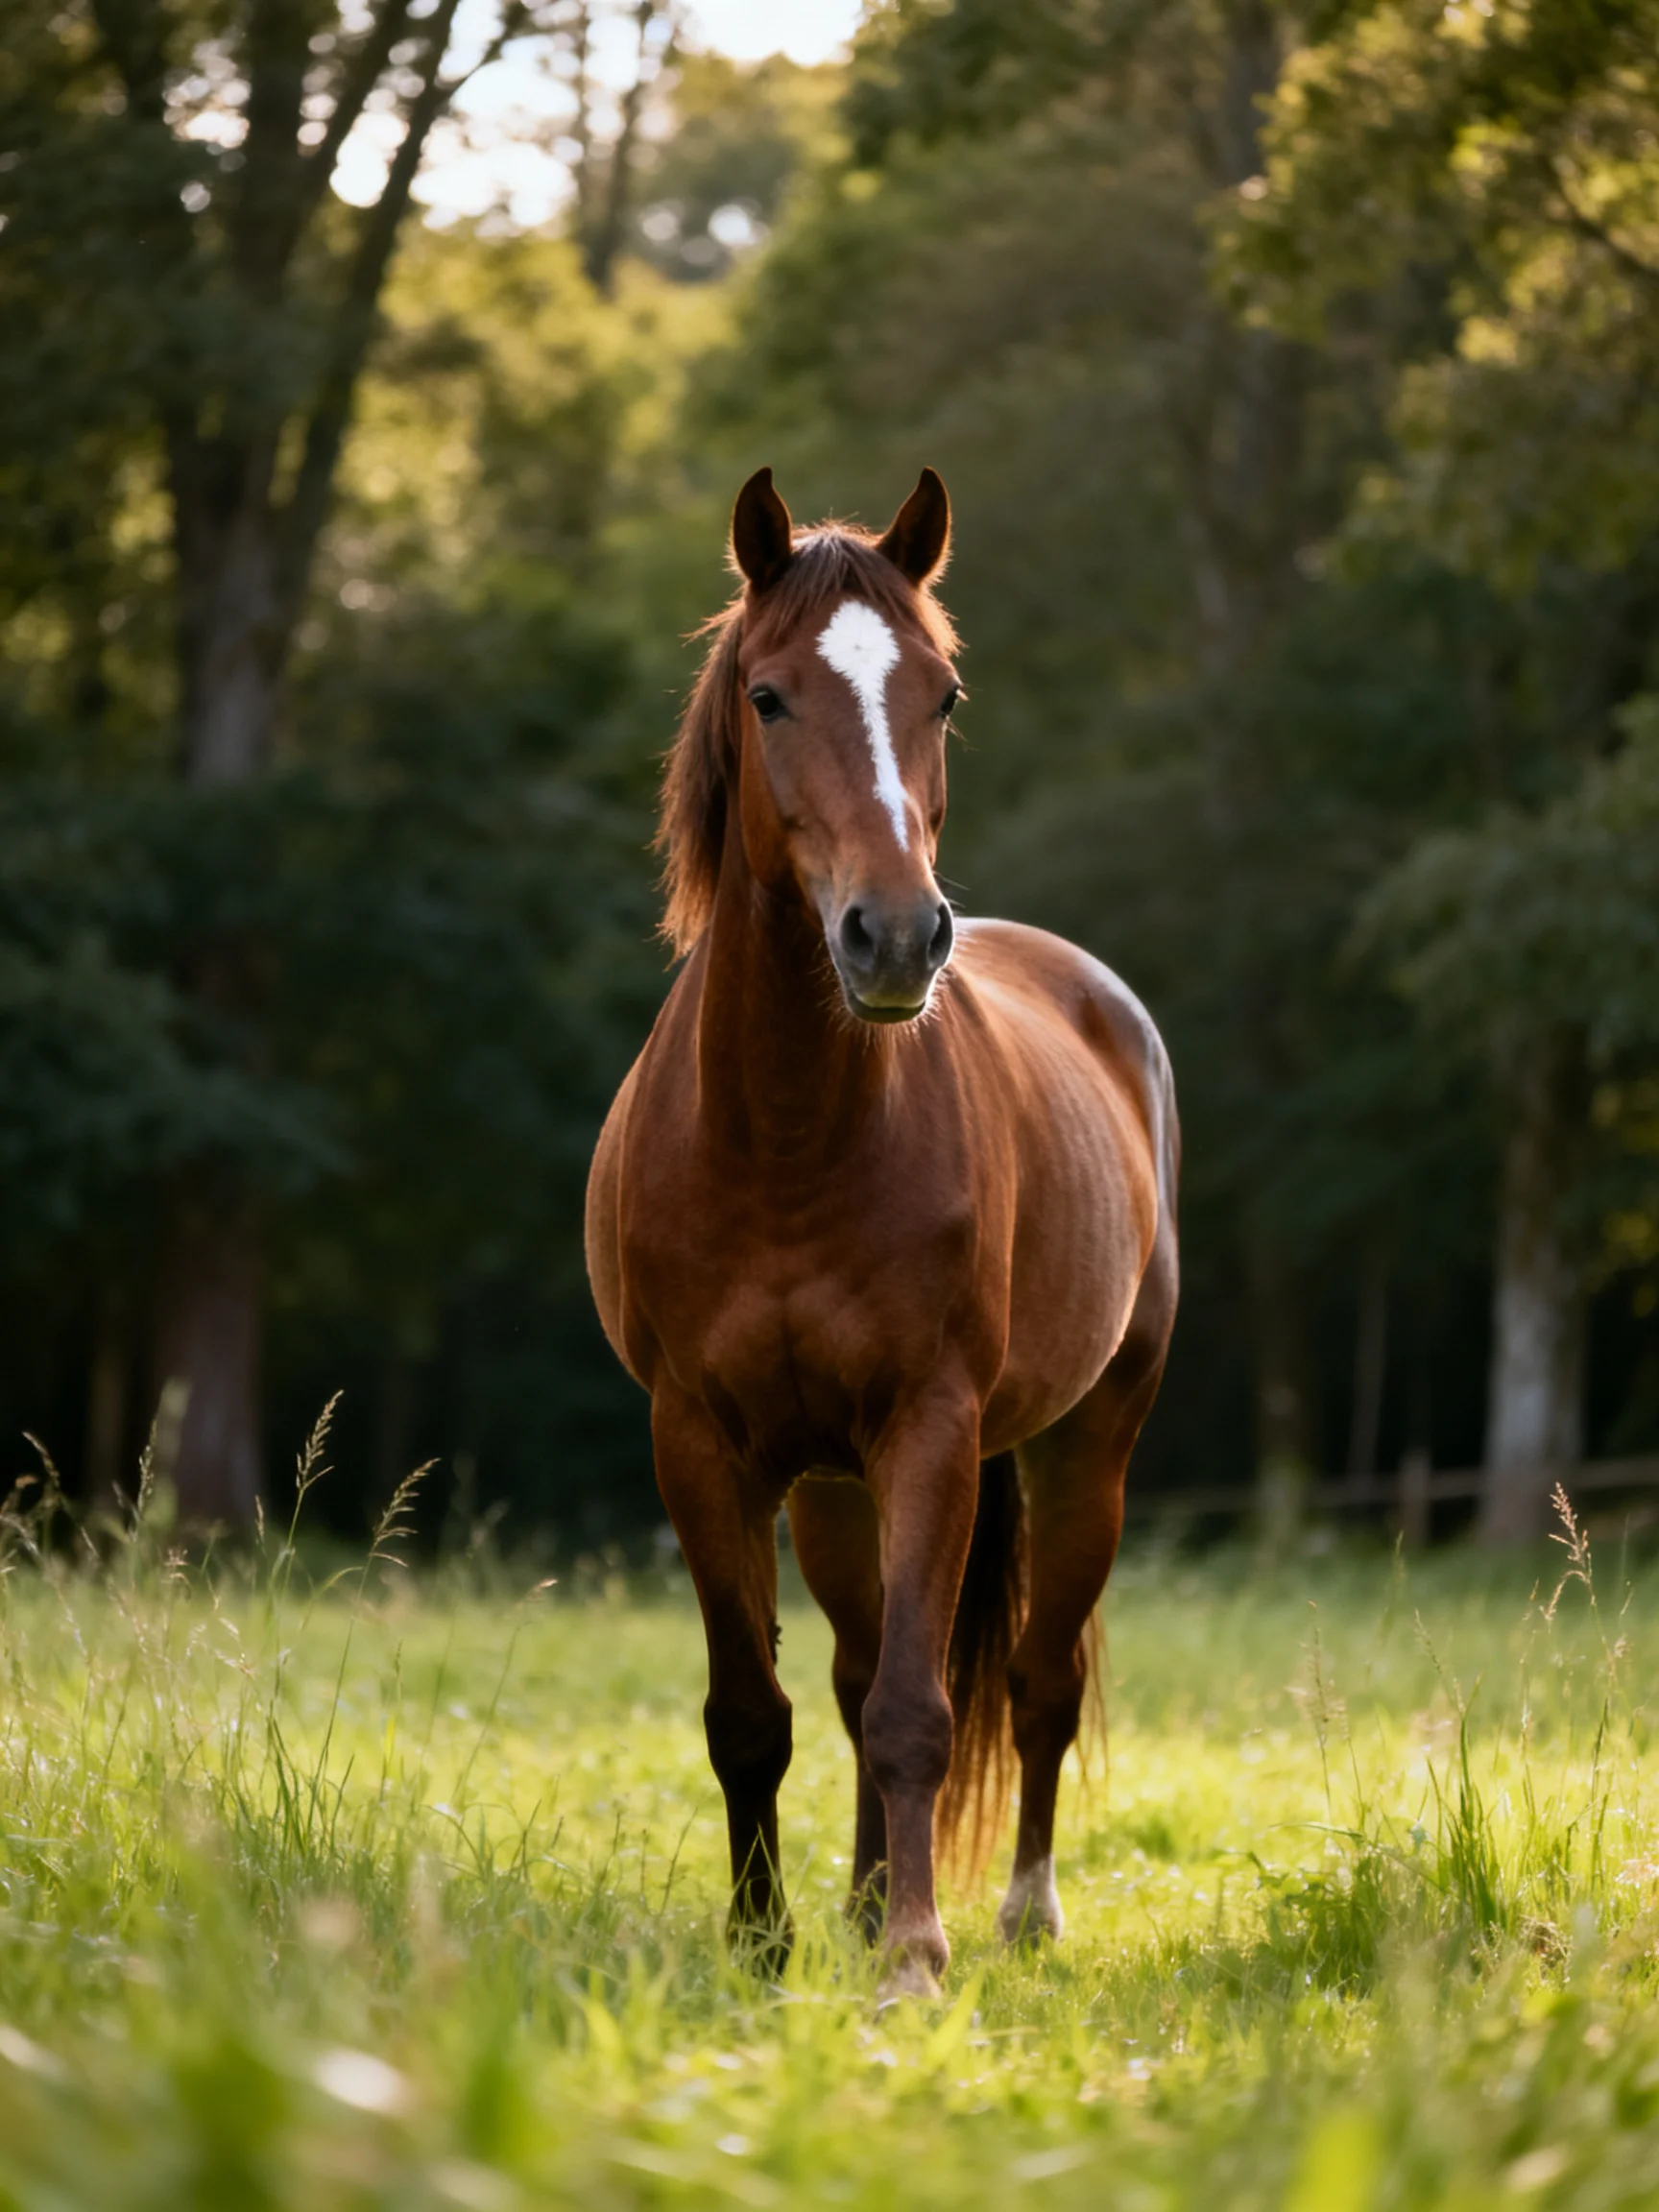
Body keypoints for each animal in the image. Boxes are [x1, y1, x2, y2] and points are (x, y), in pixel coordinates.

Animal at [585, 466, 1179, 1998]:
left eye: (944, 696)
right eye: (769, 695)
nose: (898, 938)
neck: (787, 1139)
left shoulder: (930, 1429)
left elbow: (922, 1703)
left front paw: (916, 1955)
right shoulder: (701, 1443)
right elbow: (757, 1709)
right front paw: (764, 1942)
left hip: (1085, 1448)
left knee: (1034, 1683)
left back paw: (1019, 1915)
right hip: (830, 1487)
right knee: (852, 1681)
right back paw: (853, 1906)